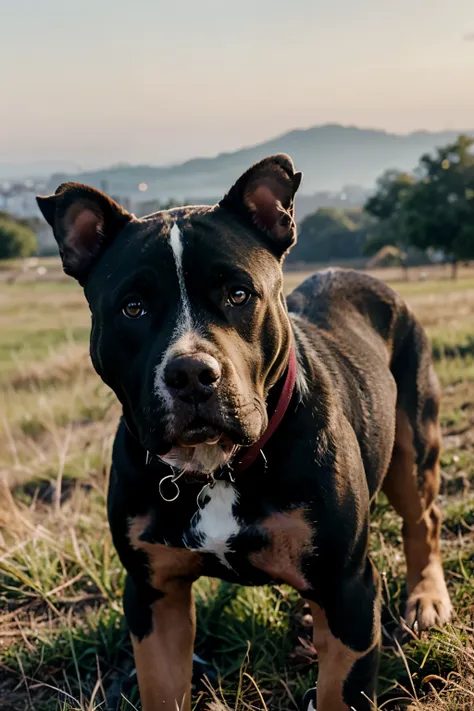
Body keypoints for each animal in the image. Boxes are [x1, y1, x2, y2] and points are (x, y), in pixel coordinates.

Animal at [37, 157, 452, 711]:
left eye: (238, 295)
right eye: (132, 308)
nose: (191, 373)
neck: (217, 467)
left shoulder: (349, 592)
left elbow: (338, 691)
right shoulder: (154, 596)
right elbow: (161, 686)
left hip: (413, 446)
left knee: (423, 518)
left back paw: (426, 599)